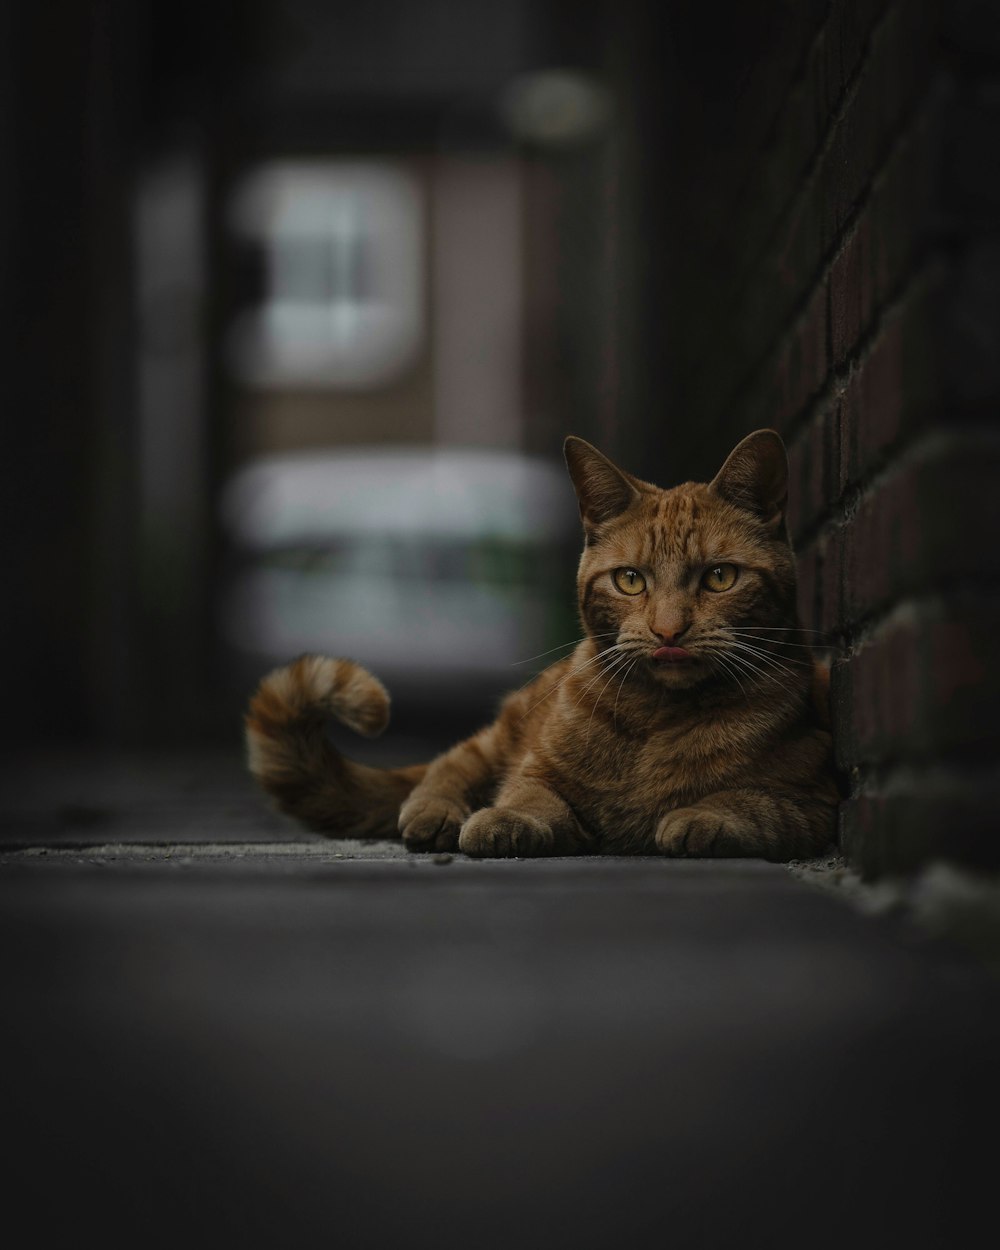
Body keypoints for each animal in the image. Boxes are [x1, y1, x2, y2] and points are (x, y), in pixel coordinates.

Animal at [246, 432, 840, 860]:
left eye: (720, 577)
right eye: (630, 580)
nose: (668, 630)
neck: (656, 718)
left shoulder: (814, 799)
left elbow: (753, 803)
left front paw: (703, 817)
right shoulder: (536, 769)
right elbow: (527, 795)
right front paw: (503, 821)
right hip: (500, 735)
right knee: (449, 764)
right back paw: (435, 813)